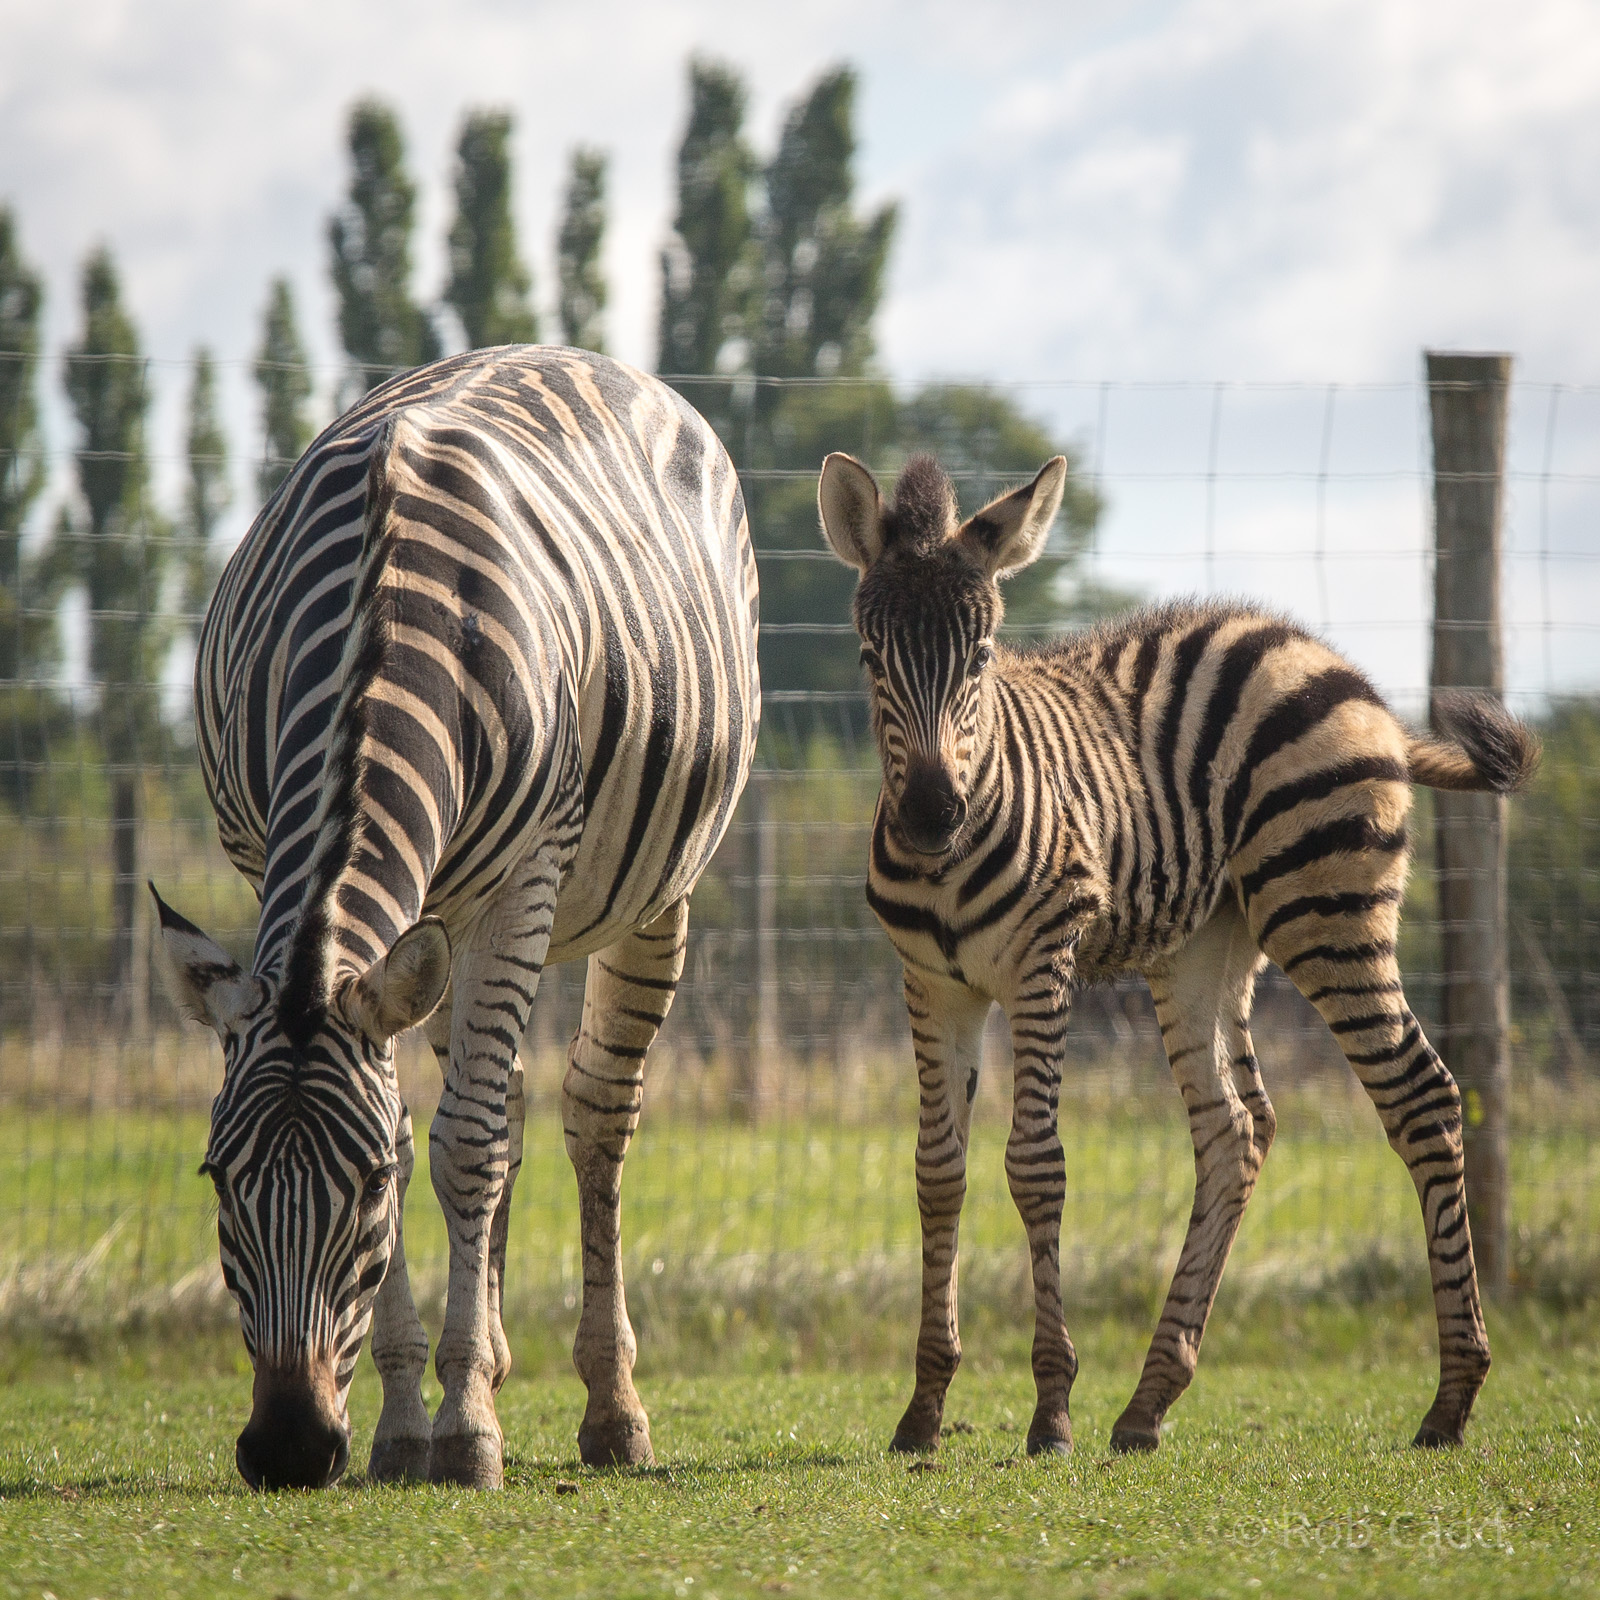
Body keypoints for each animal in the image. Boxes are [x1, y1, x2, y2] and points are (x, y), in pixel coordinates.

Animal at [152, 346, 760, 1490]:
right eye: (216, 1177)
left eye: (367, 1191)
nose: (290, 1448)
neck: (374, 629)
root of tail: (572, 353)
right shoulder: (274, 872)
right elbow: (427, 1122)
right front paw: (407, 1422)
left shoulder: (525, 878)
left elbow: (462, 1144)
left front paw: (467, 1430)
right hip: (437, 926)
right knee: (509, 1098)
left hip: (650, 890)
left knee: (595, 1113)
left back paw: (611, 1411)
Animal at [817, 450, 1537, 1459]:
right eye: (870, 657)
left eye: (983, 657)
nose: (928, 817)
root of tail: (1335, 665)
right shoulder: (933, 984)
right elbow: (936, 1172)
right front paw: (924, 1409)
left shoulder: (1044, 961)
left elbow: (1035, 1166)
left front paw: (1051, 1410)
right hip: (1204, 947)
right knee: (1236, 1130)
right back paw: (1149, 1400)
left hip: (1328, 909)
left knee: (1422, 1096)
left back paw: (1452, 1397)